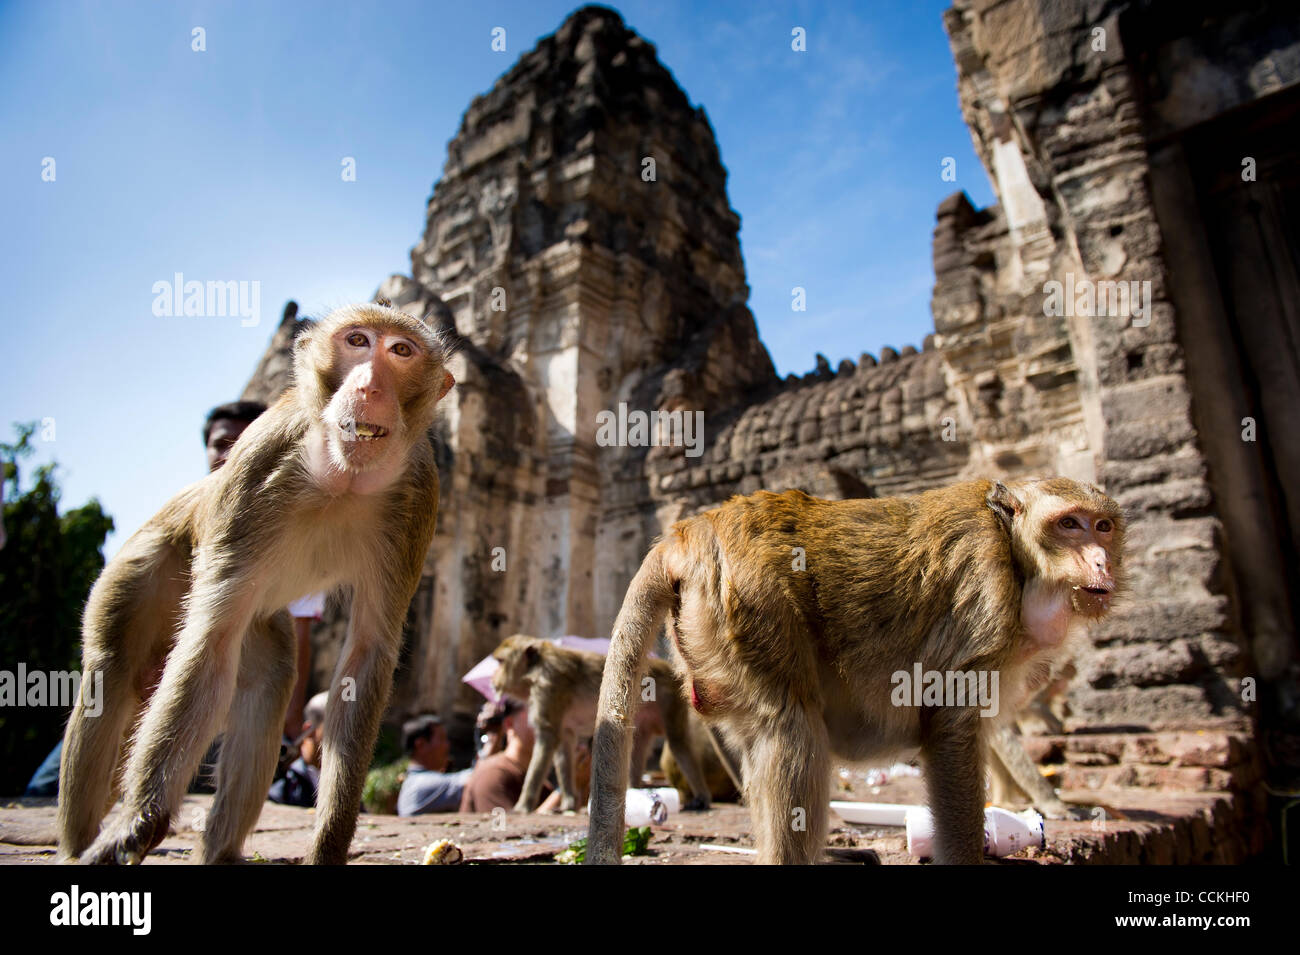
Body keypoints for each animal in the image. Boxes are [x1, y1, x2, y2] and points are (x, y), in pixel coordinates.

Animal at [61, 300, 457, 867]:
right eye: (357, 342)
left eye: (400, 351)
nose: (367, 386)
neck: (344, 476)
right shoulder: (259, 465)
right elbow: (210, 641)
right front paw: (137, 825)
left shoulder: (421, 493)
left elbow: (366, 653)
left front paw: (330, 842)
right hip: (145, 563)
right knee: (112, 671)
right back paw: (78, 844)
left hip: (263, 620)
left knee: (267, 685)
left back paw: (222, 851)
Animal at [585, 480, 1123, 862]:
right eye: (1068, 524)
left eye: (1102, 526)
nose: (1101, 562)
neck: (1015, 554)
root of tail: (691, 531)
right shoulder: (985, 590)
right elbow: (953, 725)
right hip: (750, 598)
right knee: (793, 729)